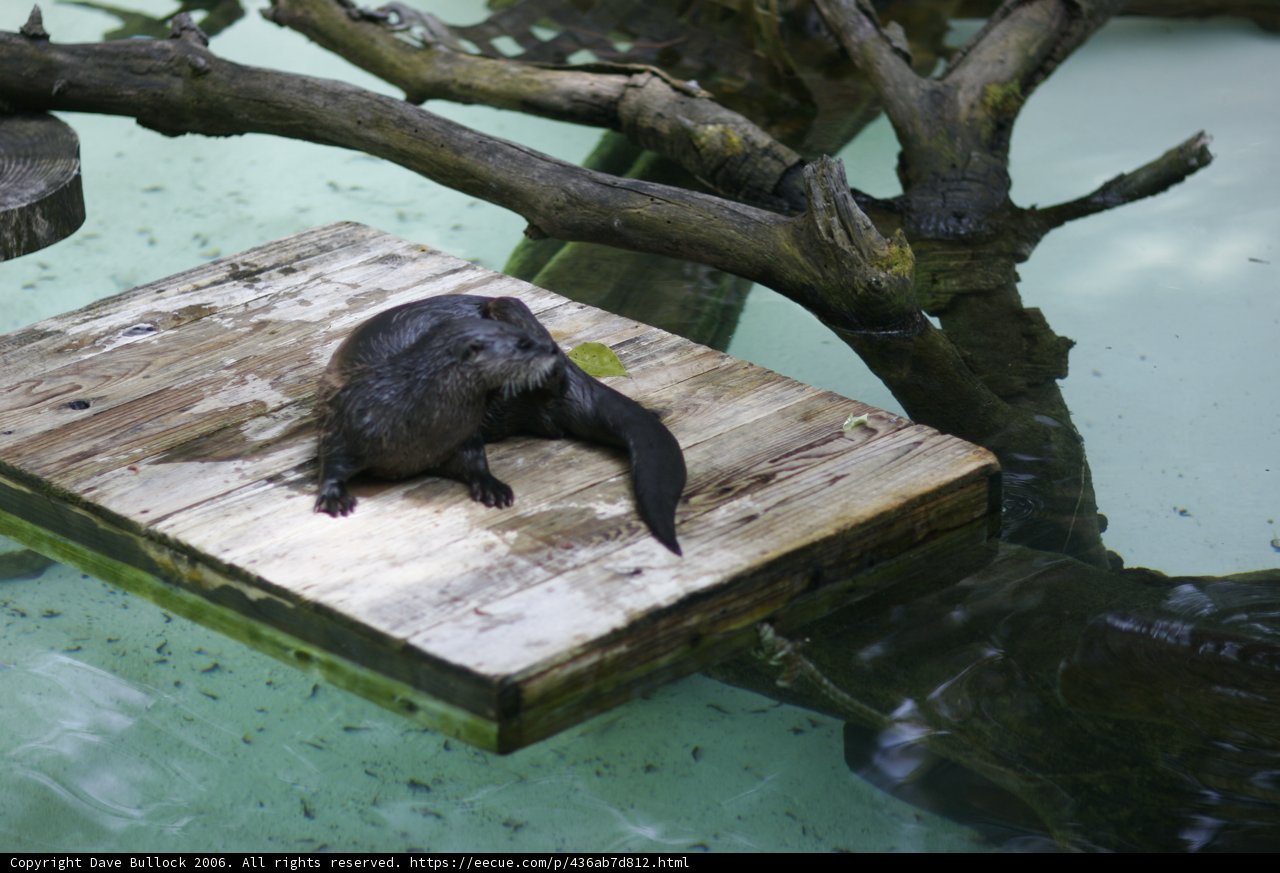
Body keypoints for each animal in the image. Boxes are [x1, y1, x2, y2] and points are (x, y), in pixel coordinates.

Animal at [315, 294, 686, 555]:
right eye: (520, 344)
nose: (550, 348)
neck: (418, 421)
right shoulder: (350, 419)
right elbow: (332, 458)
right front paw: (333, 496)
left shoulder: (462, 436)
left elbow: (473, 457)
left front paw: (492, 486)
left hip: (510, 304)